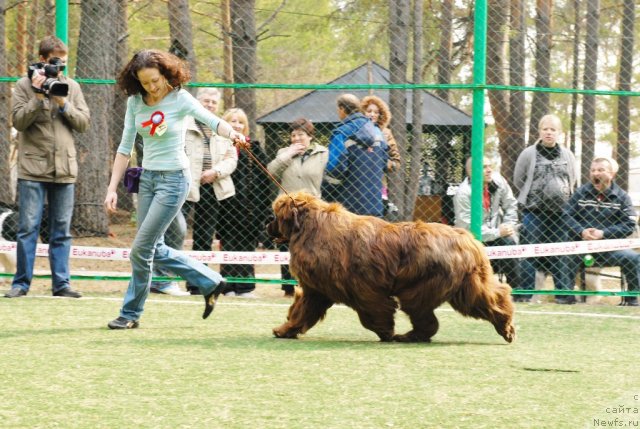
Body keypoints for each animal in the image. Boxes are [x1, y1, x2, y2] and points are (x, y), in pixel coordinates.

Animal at [268, 192, 516, 342]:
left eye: (275, 216)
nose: (266, 225)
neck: (310, 227)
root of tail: (470, 241)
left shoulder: (363, 289)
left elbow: (375, 310)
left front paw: (385, 330)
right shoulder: (317, 290)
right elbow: (302, 310)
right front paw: (286, 329)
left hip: (422, 288)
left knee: (426, 318)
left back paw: (409, 336)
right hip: (465, 285)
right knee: (490, 298)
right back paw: (505, 325)